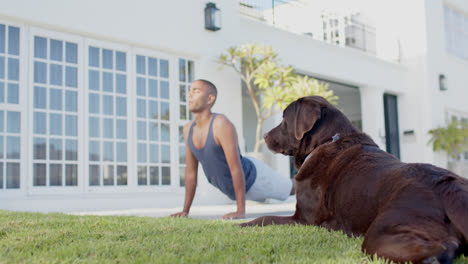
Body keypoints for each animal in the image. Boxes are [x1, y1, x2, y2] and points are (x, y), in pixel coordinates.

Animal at [241, 96, 468, 264]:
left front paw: (240, 225)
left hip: (382, 232)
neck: (326, 141)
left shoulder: (304, 219)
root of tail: (448, 186)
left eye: (283, 119)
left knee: (442, 248)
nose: (265, 136)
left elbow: (264, 218)